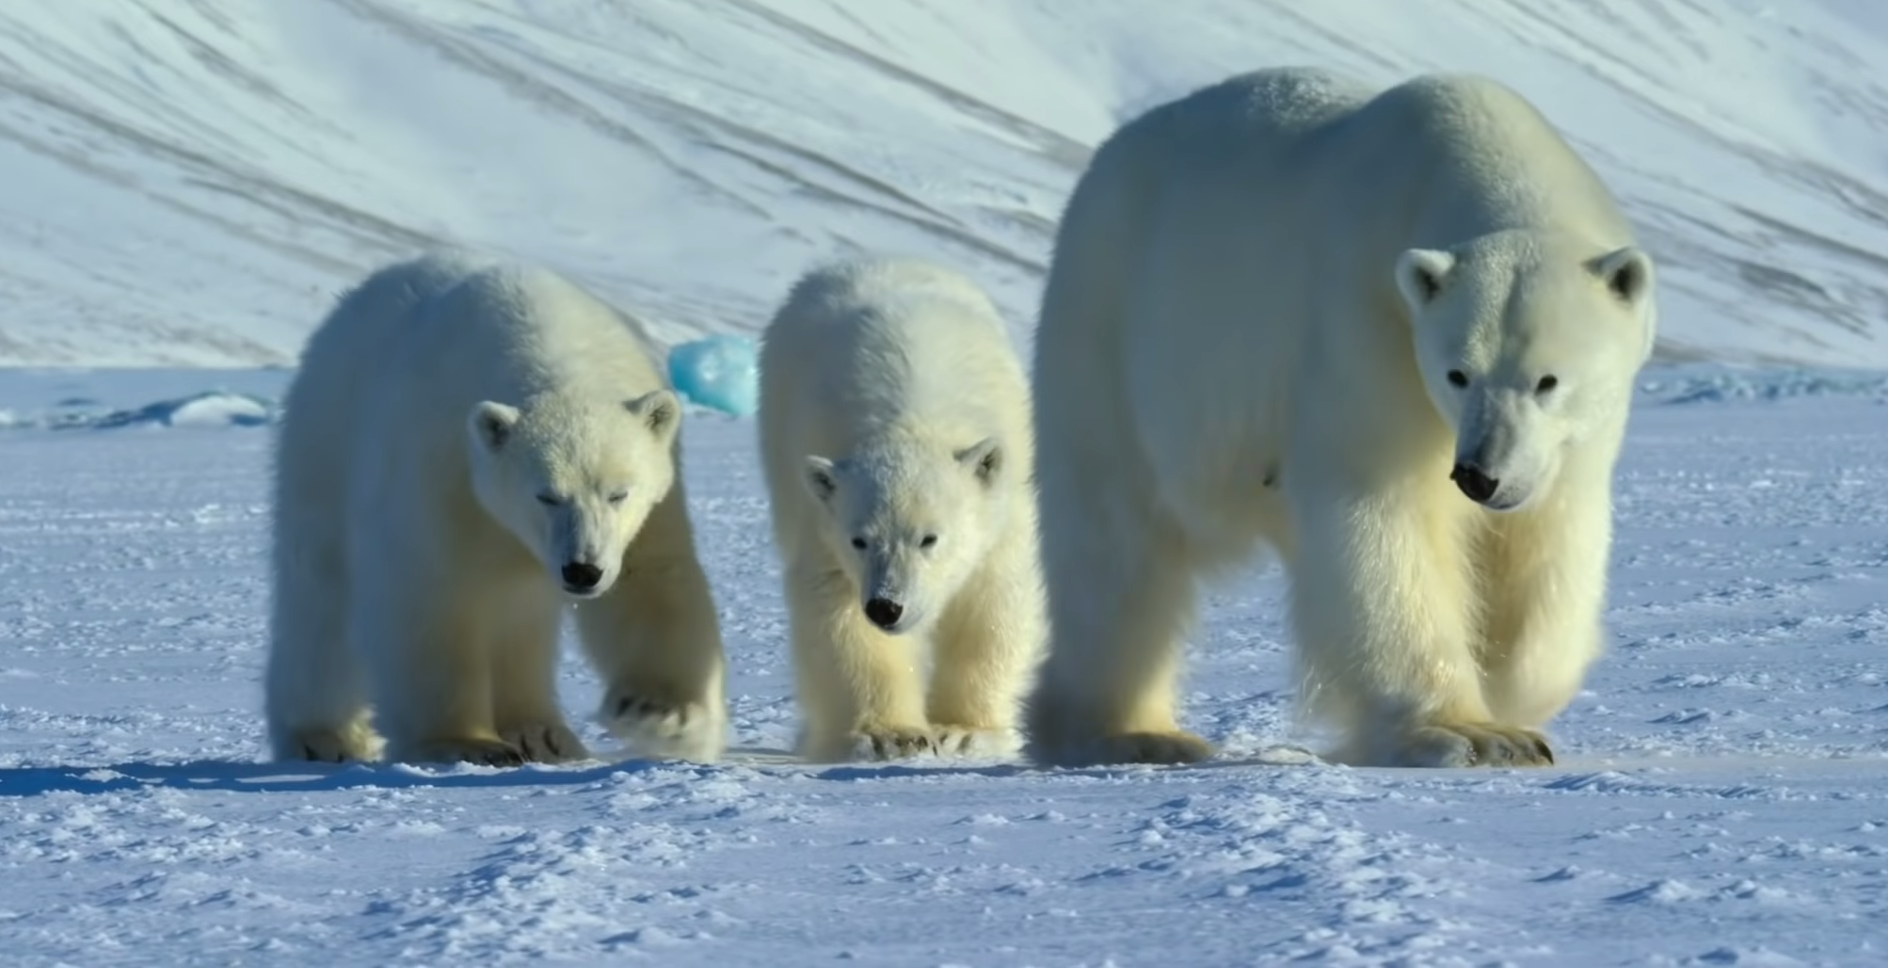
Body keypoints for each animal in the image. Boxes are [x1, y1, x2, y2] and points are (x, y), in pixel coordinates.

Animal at [269, 252, 724, 766]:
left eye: (618, 493)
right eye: (546, 494)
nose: (581, 571)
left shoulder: (647, 512)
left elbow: (650, 579)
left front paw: (661, 713)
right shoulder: (441, 462)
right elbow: (426, 591)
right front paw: (466, 743)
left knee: (518, 613)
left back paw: (543, 733)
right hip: (325, 443)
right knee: (319, 599)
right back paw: (323, 737)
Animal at [1027, 67, 1661, 766]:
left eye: (1548, 380)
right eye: (1457, 373)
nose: (1479, 475)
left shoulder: (1566, 445)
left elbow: (1549, 537)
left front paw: (1511, 690)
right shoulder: (1366, 320)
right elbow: (1381, 512)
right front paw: (1471, 733)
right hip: (1114, 331)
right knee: (1114, 541)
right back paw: (1124, 731)